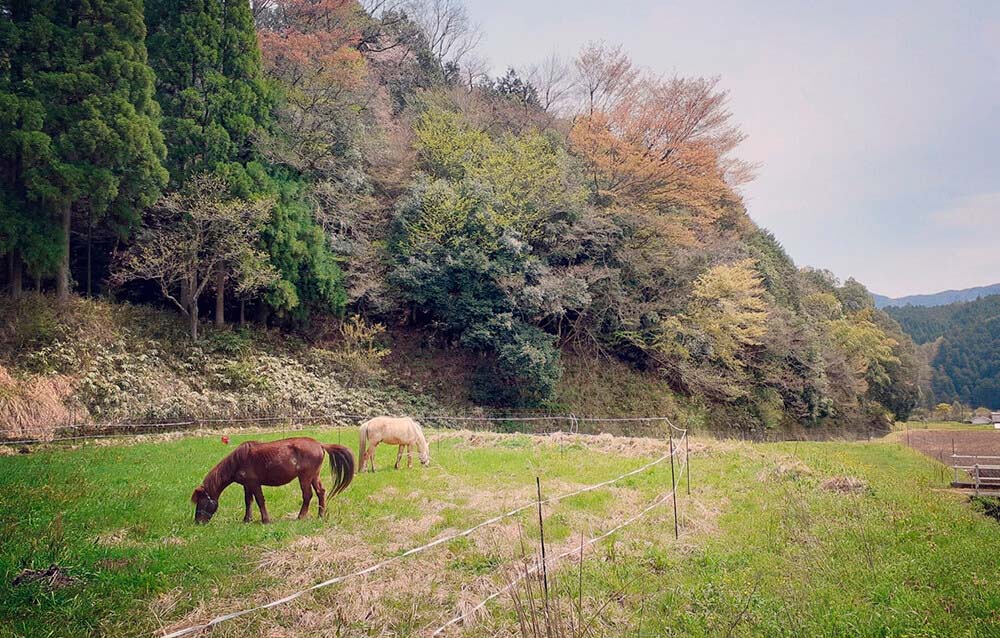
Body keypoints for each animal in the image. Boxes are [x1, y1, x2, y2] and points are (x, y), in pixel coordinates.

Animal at [191, 437, 354, 524]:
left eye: (202, 501)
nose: (198, 521)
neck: (239, 460)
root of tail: (319, 444)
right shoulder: (247, 485)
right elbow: (248, 501)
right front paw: (247, 519)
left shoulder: (254, 484)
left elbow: (259, 500)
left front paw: (265, 520)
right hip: (314, 476)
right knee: (321, 492)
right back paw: (320, 515)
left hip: (305, 477)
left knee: (307, 495)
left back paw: (301, 516)